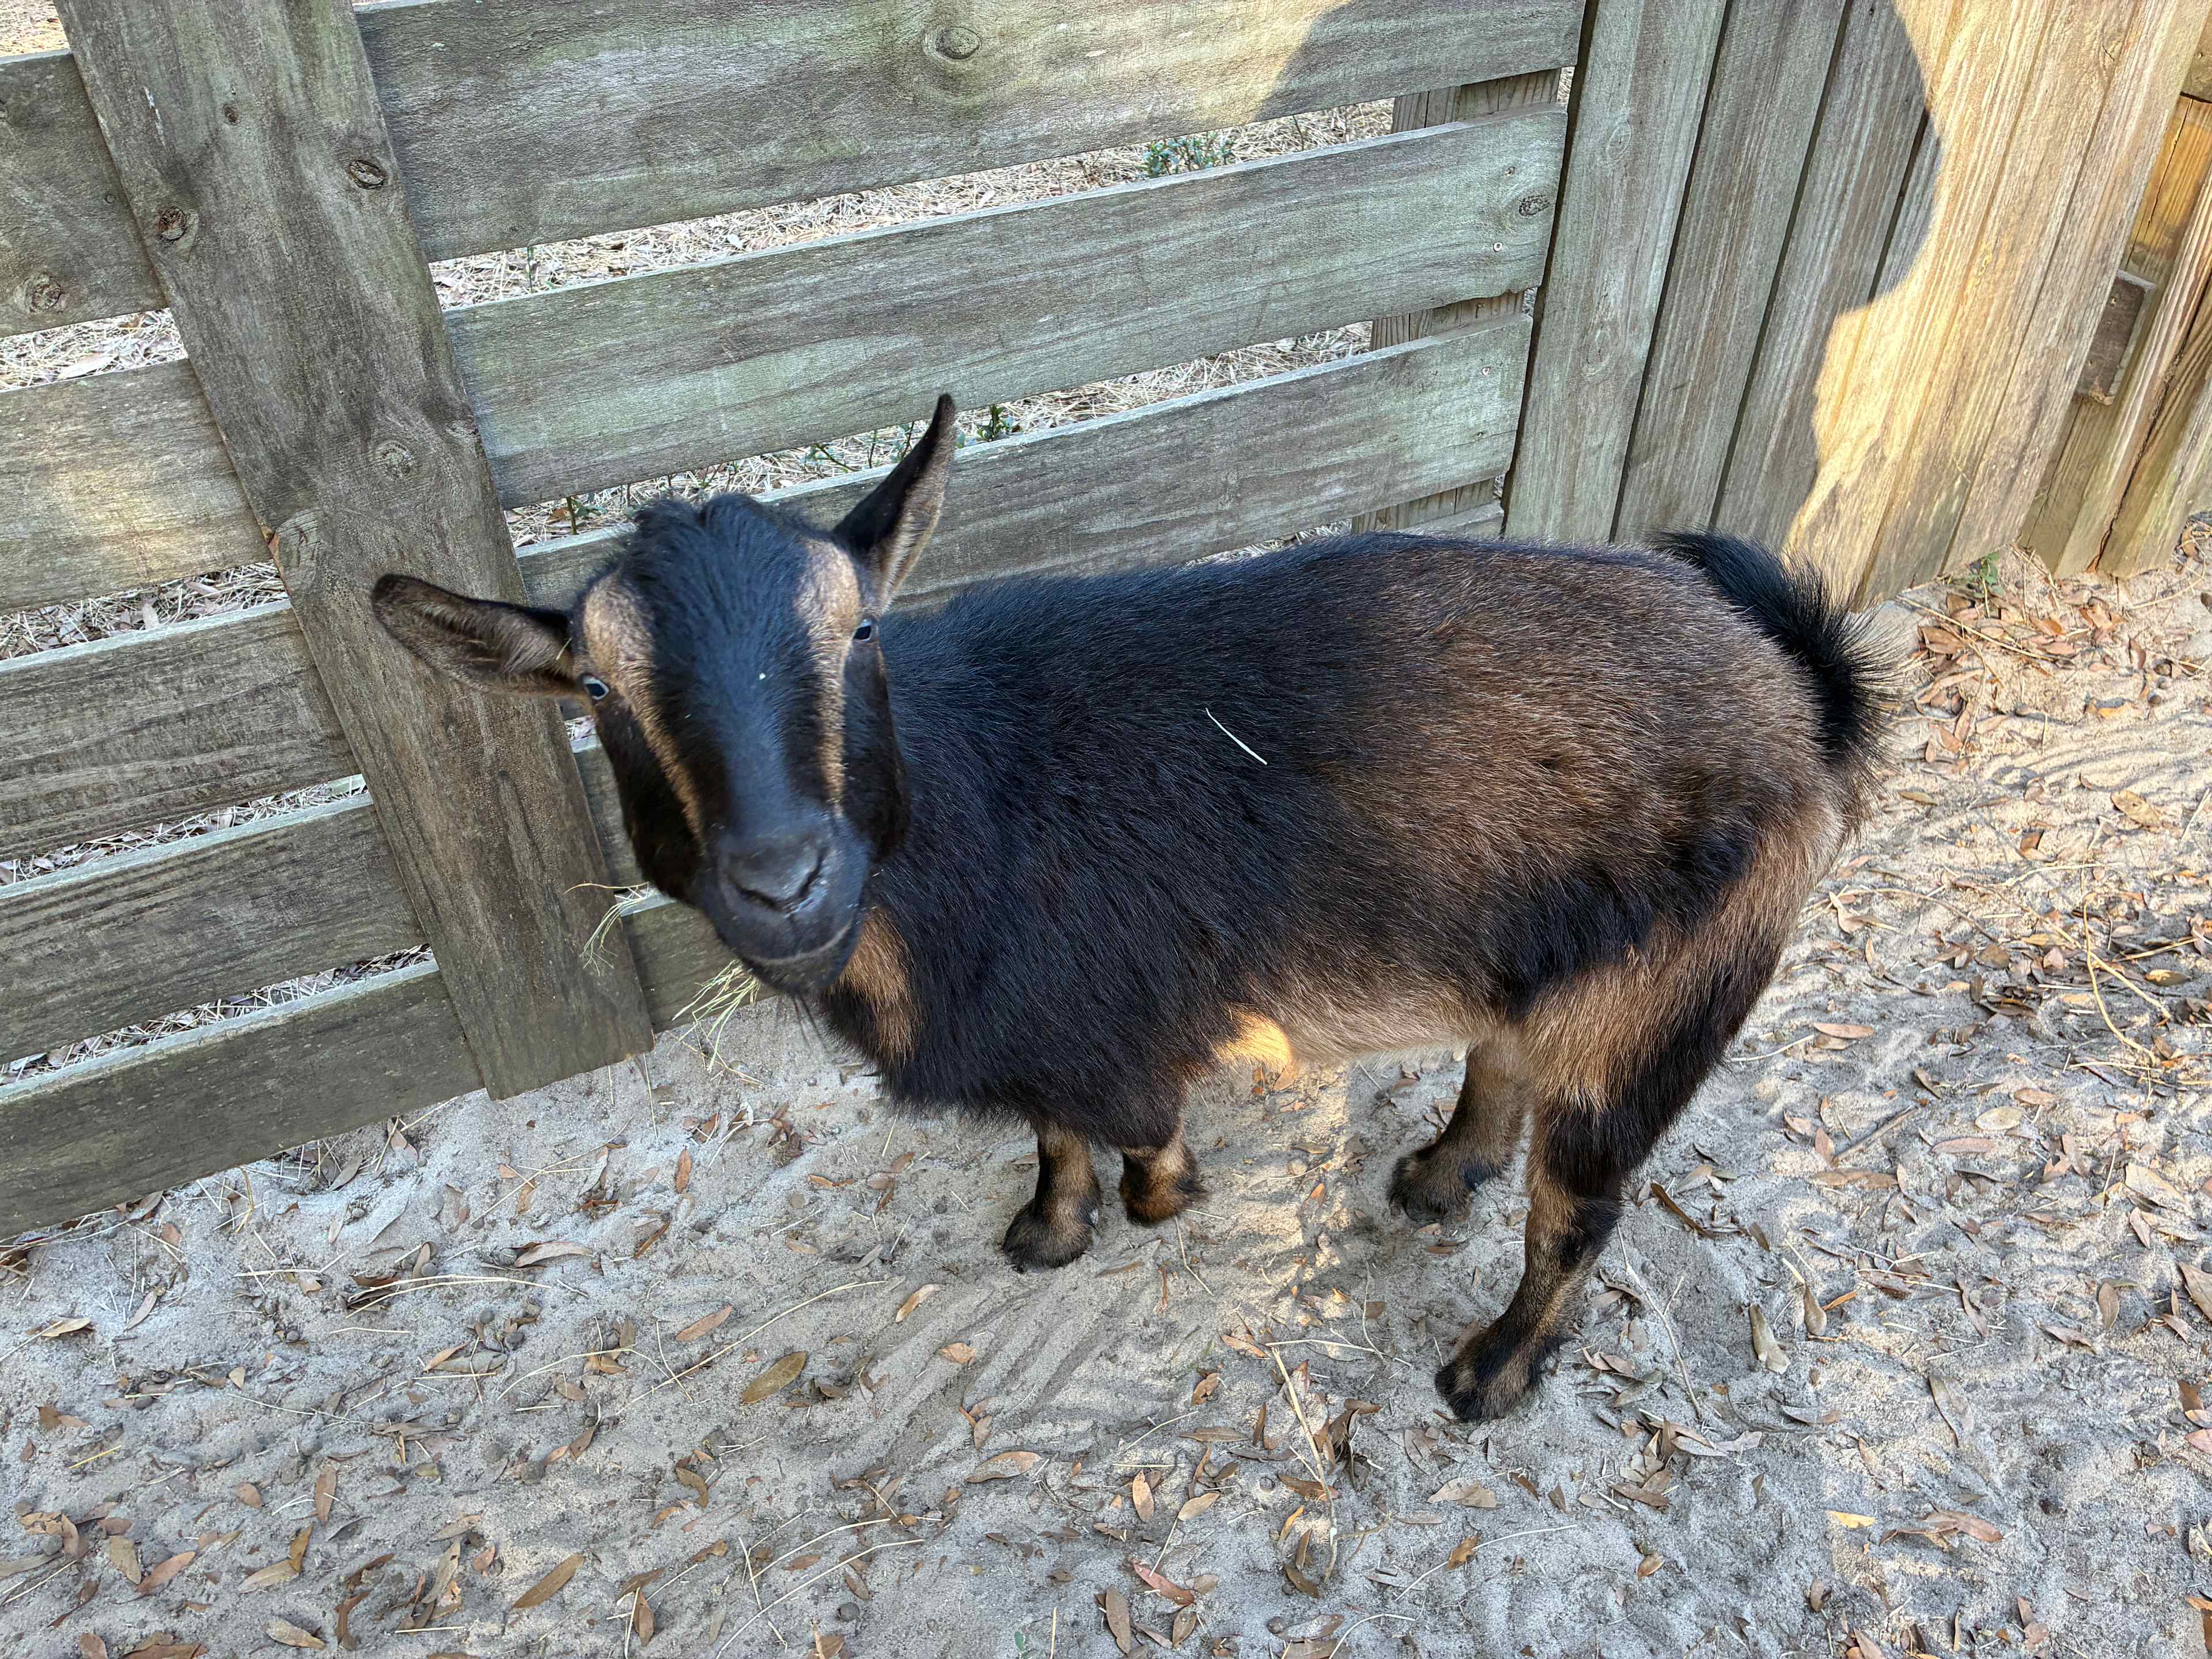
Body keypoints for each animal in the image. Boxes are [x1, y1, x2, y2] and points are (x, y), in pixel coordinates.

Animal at [373, 395, 1882, 1420]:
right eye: (596, 688)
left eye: (858, 627)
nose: (785, 878)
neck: (972, 816)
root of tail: (1796, 689)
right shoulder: (1043, 1027)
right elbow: (1052, 1134)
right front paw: (1049, 1232)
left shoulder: (1114, 1023)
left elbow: (1136, 1124)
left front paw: (1156, 1199)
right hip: (1543, 951)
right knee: (1505, 1061)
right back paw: (1436, 1175)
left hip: (1664, 998)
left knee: (1582, 1205)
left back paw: (1489, 1371)